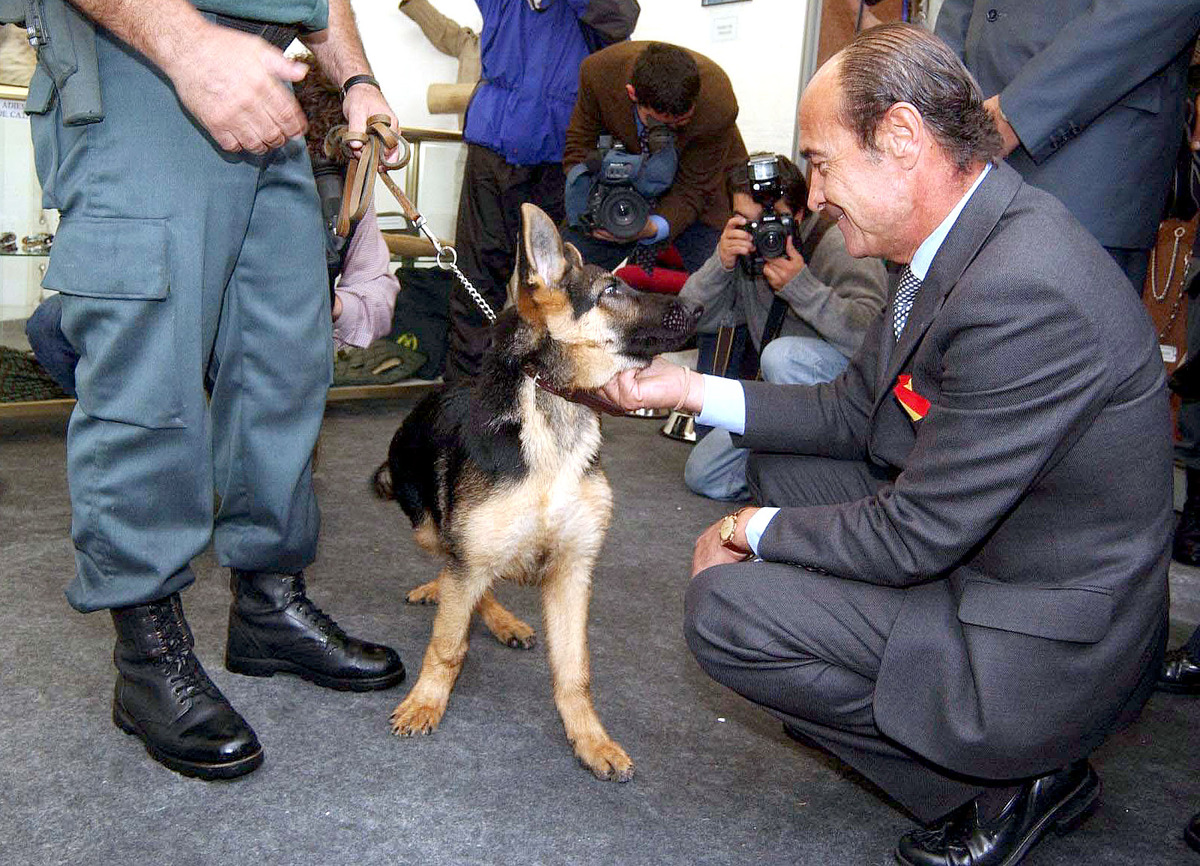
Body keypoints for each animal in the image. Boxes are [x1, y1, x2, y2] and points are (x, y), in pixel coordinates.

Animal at [369, 203, 700, 782]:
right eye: (612, 289)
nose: (699, 306)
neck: (552, 411)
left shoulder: (573, 572)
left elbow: (574, 671)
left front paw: (590, 739)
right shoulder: (472, 554)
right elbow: (447, 646)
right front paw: (426, 702)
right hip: (430, 527)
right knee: (455, 570)